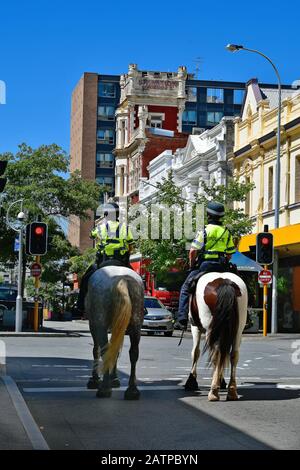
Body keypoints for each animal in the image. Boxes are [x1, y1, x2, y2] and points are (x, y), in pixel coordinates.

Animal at [85, 266, 145, 398]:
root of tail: (122, 278)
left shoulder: (93, 325)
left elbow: (96, 350)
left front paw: (95, 380)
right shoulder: (117, 326)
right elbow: (116, 350)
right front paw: (115, 379)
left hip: (100, 323)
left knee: (104, 351)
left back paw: (104, 389)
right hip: (136, 325)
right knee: (134, 353)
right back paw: (132, 390)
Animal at [186, 272, 247, 400]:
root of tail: (225, 282)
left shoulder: (195, 327)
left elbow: (195, 352)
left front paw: (191, 381)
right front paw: (221, 381)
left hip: (210, 327)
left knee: (216, 354)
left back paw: (213, 391)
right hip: (238, 329)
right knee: (233, 355)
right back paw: (231, 391)